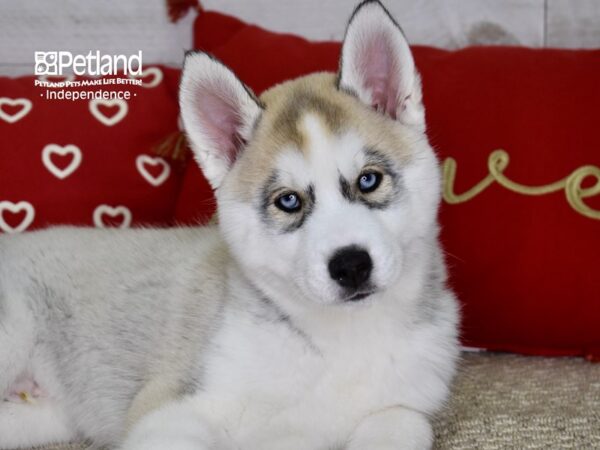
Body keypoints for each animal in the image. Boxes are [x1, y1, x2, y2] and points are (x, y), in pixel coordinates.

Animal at [1, 1, 460, 448]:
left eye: (369, 180)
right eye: (288, 201)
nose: (351, 266)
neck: (338, 342)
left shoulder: (401, 408)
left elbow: (404, 424)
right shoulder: (172, 407)